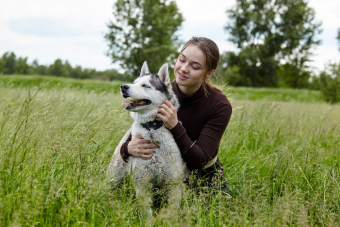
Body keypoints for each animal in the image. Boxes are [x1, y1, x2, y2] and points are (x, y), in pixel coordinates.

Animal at [106, 61, 187, 212]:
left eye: (145, 85)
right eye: (134, 83)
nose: (123, 86)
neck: (152, 127)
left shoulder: (174, 182)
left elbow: (171, 210)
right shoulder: (142, 182)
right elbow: (146, 211)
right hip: (113, 177)